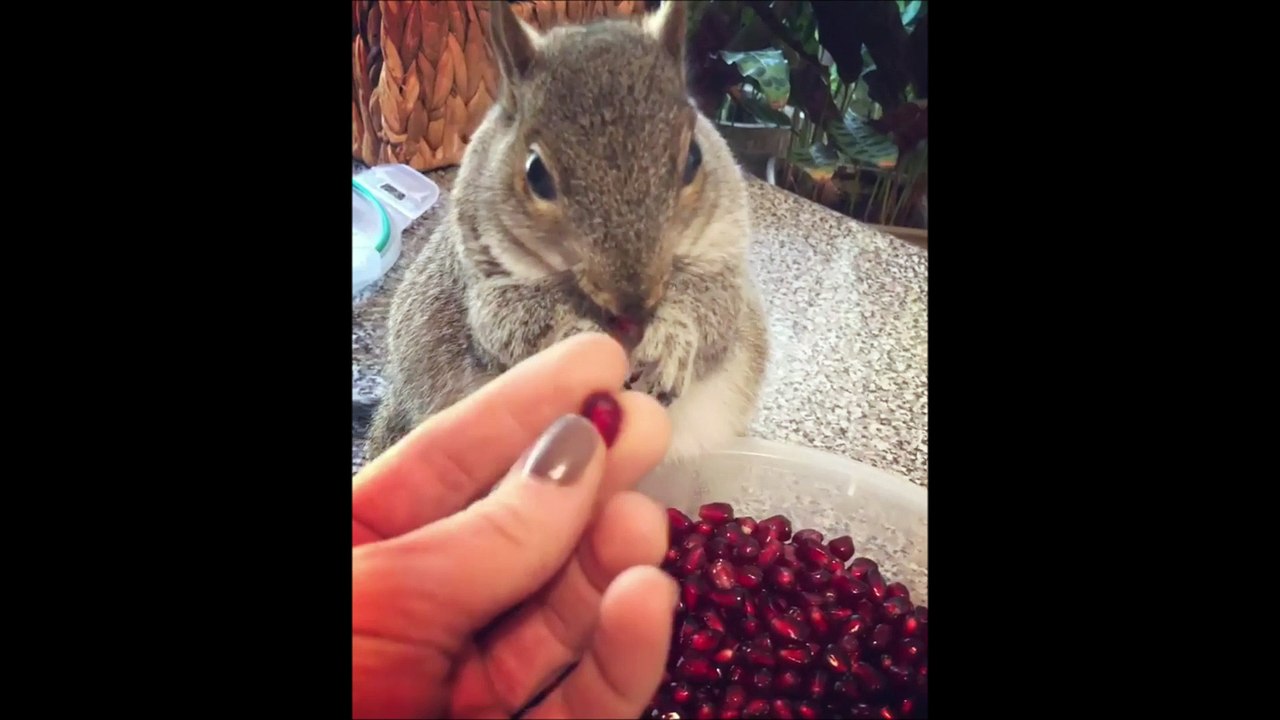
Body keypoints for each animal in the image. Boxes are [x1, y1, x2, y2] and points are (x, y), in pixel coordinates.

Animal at [360, 0, 769, 464]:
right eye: (536, 174)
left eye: (694, 158)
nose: (635, 303)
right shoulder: (485, 278)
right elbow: (506, 323)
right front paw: (574, 333)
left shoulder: (722, 253)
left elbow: (715, 307)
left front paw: (671, 340)